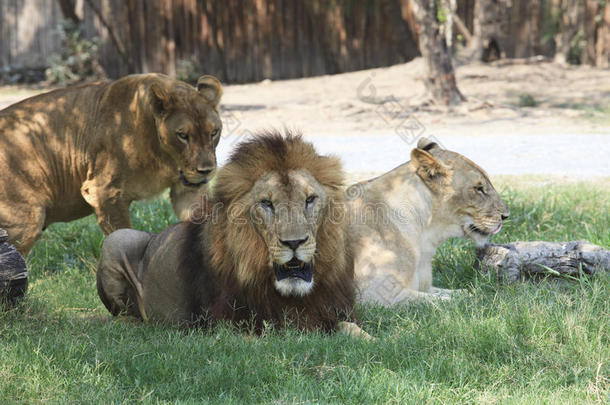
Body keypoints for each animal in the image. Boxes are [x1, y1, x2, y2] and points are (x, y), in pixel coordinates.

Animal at [0, 74, 223, 254]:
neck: (163, 157)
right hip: (26, 220)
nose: (206, 171)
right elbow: (122, 236)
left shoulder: (188, 191)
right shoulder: (103, 191)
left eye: (214, 133)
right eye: (182, 136)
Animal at [96, 130, 370, 338]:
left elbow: (354, 330)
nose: (294, 242)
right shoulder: (227, 326)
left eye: (310, 200)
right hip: (117, 239)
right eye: (266, 204)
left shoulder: (332, 311)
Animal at [346, 137, 508, 304]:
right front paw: (485, 298)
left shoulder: (425, 287)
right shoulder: (375, 294)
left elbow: (458, 293)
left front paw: (481, 291)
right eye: (478, 188)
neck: (425, 234)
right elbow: (444, 300)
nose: (506, 215)